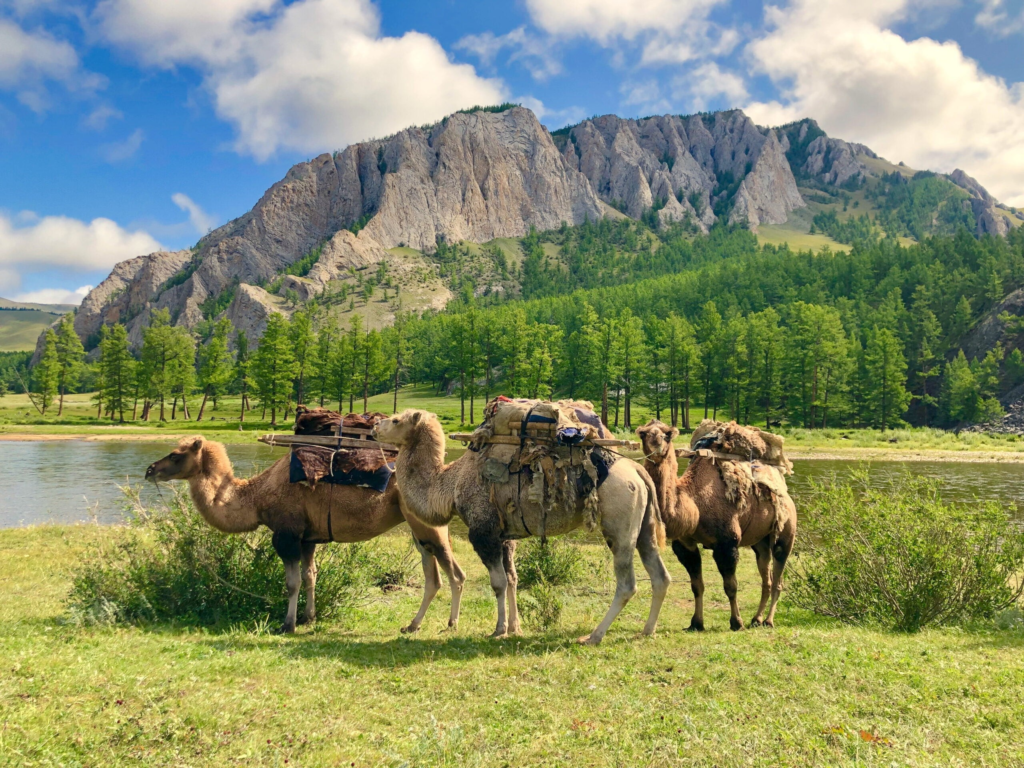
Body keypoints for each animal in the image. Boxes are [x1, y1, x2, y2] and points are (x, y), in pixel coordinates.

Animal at [145, 436, 465, 634]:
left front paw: (287, 625)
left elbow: (292, 582)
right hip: (418, 527)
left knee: (455, 574)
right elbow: (311, 575)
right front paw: (308, 618)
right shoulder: (308, 538)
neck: (256, 499)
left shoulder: (286, 536)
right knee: (434, 576)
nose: (149, 470)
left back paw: (450, 624)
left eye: (176, 454)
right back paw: (412, 625)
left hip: (426, 524)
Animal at [373, 409, 672, 645]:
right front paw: (515, 627)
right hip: (644, 526)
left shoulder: (483, 533)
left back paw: (593, 636)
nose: (375, 426)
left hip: (619, 525)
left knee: (627, 583)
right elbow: (513, 579)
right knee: (660, 574)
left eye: (396, 419)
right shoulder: (505, 536)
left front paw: (499, 629)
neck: (450, 486)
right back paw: (647, 631)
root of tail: (638, 472)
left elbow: (498, 583)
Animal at [636, 420, 797, 631]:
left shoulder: (727, 543)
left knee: (777, 576)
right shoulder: (685, 544)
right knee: (766, 576)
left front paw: (736, 623)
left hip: (785, 532)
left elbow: (731, 586)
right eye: (643, 434)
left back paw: (768, 621)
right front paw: (696, 623)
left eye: (668, 434)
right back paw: (756, 619)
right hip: (760, 541)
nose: (656, 446)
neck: (694, 503)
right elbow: (697, 586)